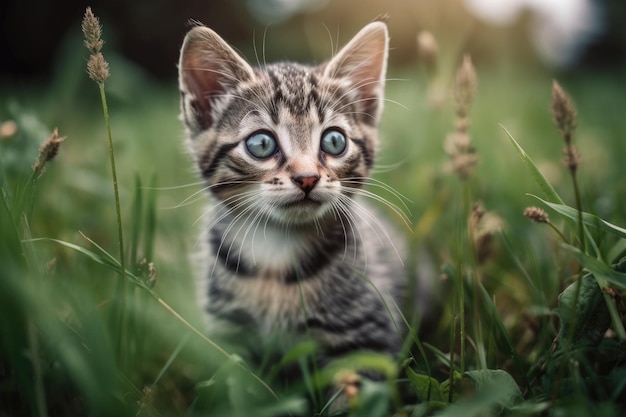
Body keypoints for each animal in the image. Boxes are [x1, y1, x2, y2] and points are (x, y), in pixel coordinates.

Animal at [178, 21, 408, 362]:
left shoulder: (367, 332)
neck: (277, 251)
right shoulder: (230, 334)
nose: (307, 177)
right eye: (261, 144)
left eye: (334, 141)